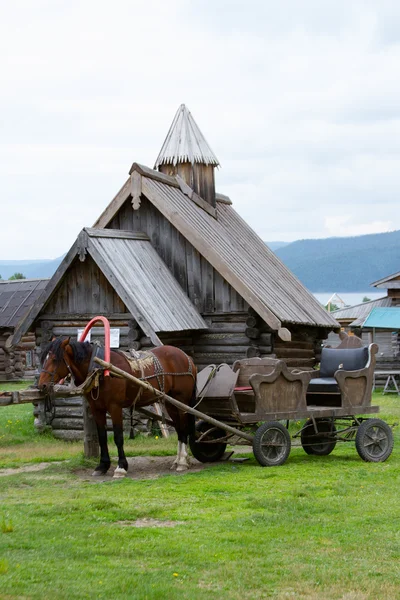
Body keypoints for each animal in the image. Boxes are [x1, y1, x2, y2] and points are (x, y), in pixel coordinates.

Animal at [38, 340, 198, 476]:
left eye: (55, 359)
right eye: (43, 359)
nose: (42, 386)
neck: (101, 369)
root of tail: (186, 357)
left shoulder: (115, 407)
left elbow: (118, 437)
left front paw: (121, 467)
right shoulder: (97, 409)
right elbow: (102, 437)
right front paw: (102, 466)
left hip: (181, 401)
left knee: (183, 428)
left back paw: (182, 462)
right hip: (171, 403)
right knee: (179, 429)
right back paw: (178, 460)